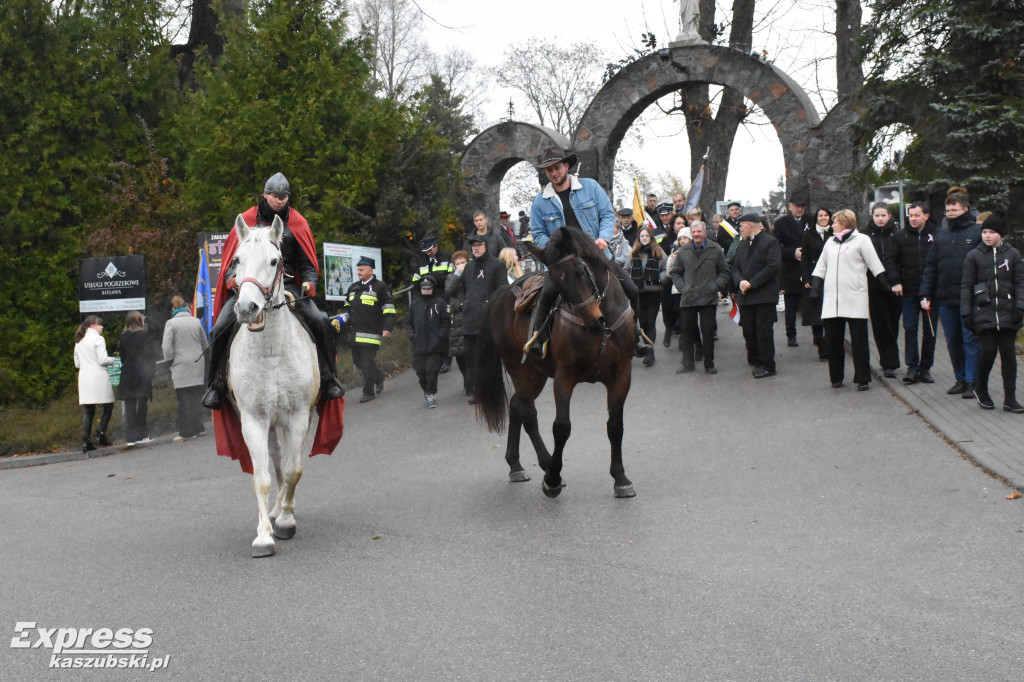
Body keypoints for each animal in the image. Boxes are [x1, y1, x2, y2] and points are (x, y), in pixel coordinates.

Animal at [229, 215, 317, 557]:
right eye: (237, 260)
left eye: (274, 261)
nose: (247, 309)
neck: (271, 352)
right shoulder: (253, 420)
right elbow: (263, 477)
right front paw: (264, 535)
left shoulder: (298, 416)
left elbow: (294, 471)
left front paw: (286, 522)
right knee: (276, 461)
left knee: (288, 464)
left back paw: (282, 510)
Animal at [471, 225, 630, 497]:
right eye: (556, 283)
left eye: (580, 271)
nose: (594, 321)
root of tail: (501, 294)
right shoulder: (564, 376)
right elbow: (562, 427)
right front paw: (553, 479)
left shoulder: (621, 375)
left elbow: (615, 425)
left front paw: (620, 478)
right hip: (521, 370)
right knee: (527, 411)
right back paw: (546, 464)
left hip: (536, 375)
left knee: (517, 405)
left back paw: (515, 465)